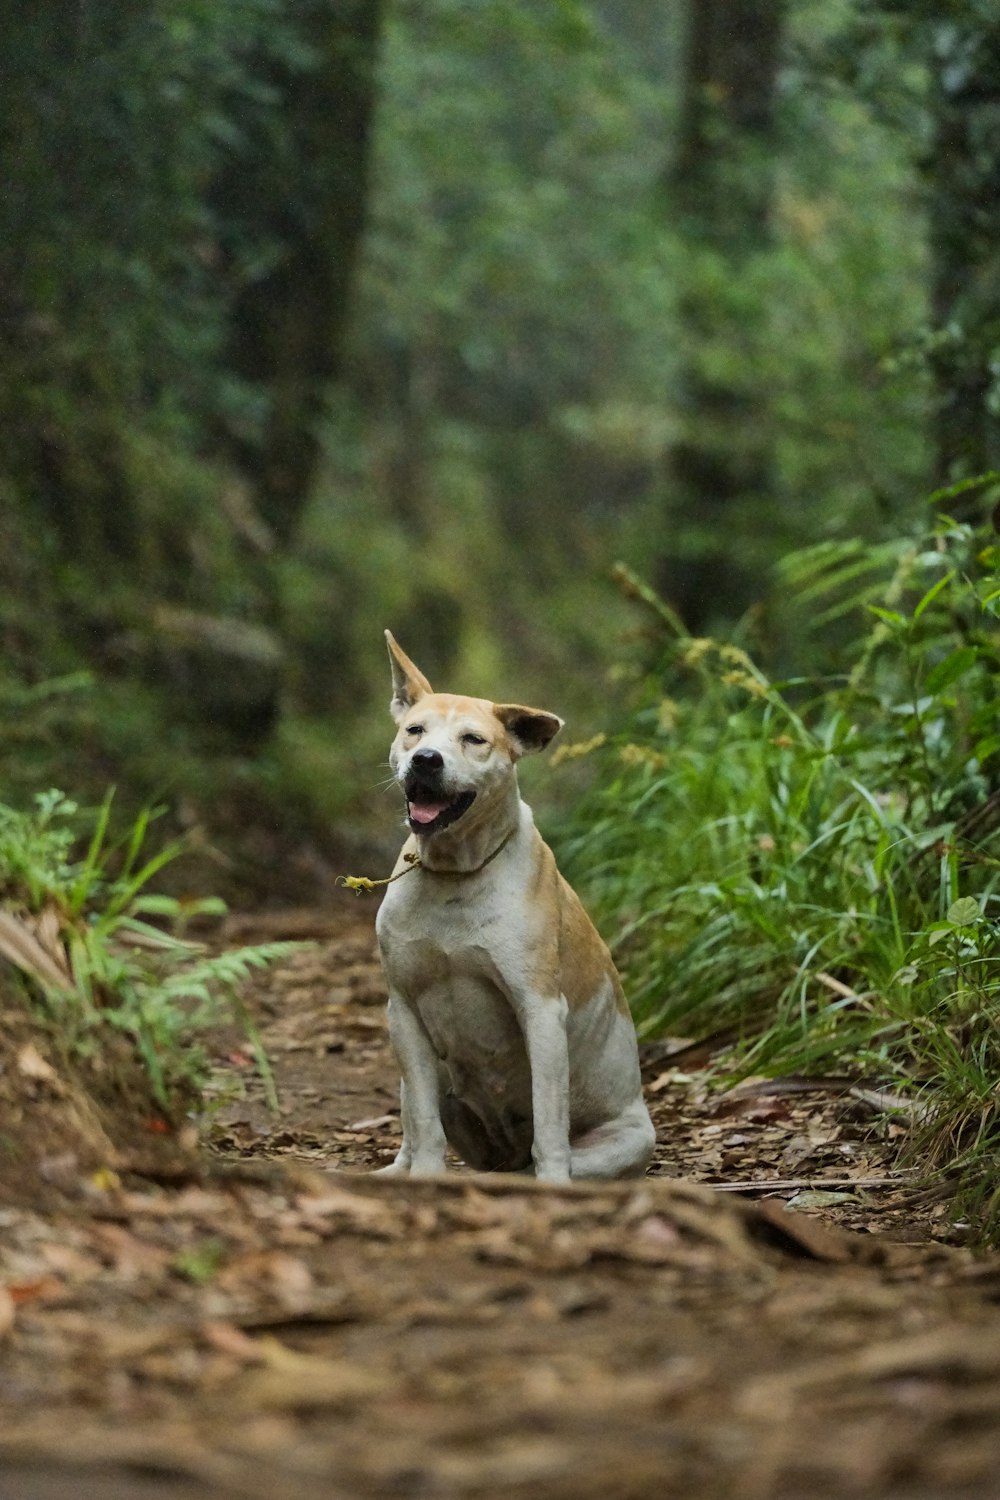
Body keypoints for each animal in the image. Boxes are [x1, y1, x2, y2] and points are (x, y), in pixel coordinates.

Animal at [374, 627, 656, 1176]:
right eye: (415, 731)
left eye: (473, 740)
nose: (426, 760)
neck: (455, 874)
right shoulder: (404, 1011)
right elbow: (422, 1120)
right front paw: (424, 1177)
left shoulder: (540, 1011)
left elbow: (549, 1125)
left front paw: (551, 1181)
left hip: (625, 1141)